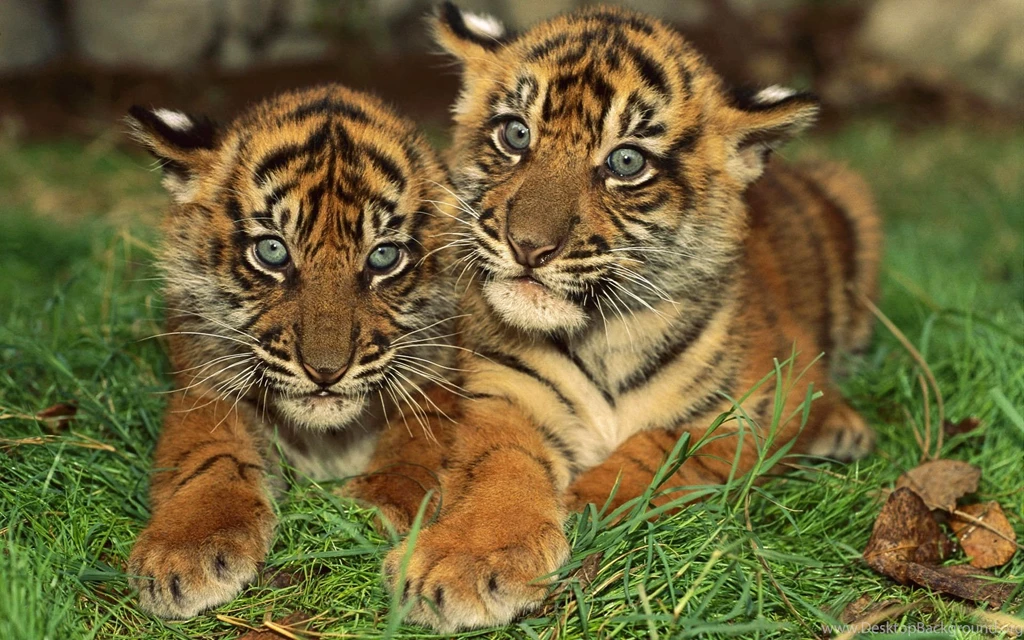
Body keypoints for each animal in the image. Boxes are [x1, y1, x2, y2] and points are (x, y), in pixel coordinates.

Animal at [125, 84, 462, 619]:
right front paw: (184, 549)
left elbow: (414, 451)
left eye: (384, 257)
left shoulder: (440, 382)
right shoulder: (204, 387)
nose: (326, 372)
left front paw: (371, 509)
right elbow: (210, 457)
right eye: (273, 251)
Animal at [380, 3, 882, 631]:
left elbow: (661, 448)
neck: (603, 335)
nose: (528, 246)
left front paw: (585, 503)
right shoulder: (505, 394)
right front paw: (468, 557)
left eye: (626, 161)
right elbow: (500, 467)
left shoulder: (760, 401)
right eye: (516, 134)